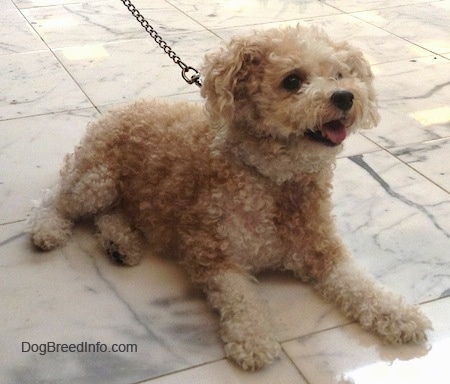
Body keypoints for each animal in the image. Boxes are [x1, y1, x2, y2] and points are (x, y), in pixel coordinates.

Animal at [29, 25, 430, 370]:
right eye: (293, 80)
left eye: (340, 75)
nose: (345, 97)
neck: (274, 181)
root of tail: (118, 110)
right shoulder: (211, 251)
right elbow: (241, 297)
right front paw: (254, 340)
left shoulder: (322, 249)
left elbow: (359, 284)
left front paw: (399, 314)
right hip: (96, 180)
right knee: (54, 199)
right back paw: (48, 230)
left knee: (109, 214)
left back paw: (120, 243)